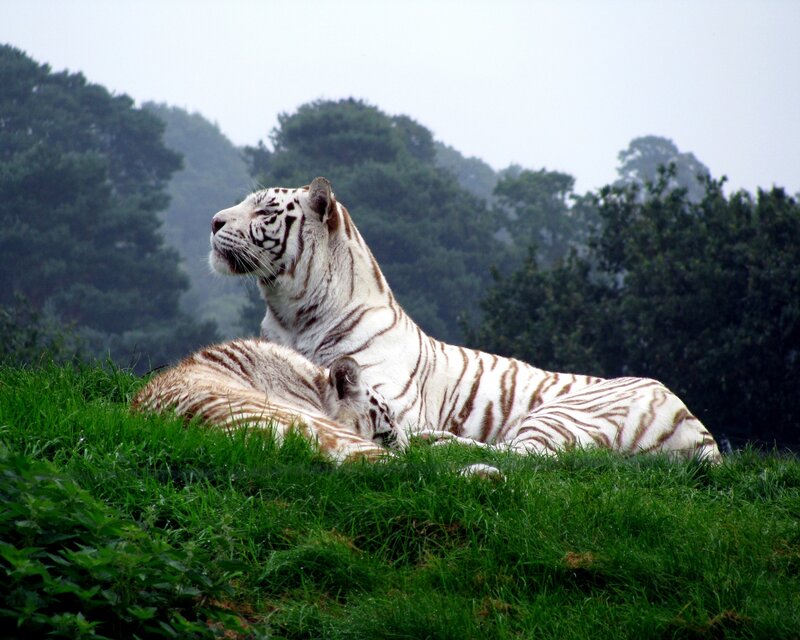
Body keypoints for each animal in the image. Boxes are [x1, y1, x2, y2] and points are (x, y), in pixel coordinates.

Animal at [208, 177, 721, 462]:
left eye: (266, 209)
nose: (213, 221)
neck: (290, 313)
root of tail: (702, 434)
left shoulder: (387, 398)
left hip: (566, 412)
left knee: (527, 456)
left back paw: (438, 443)